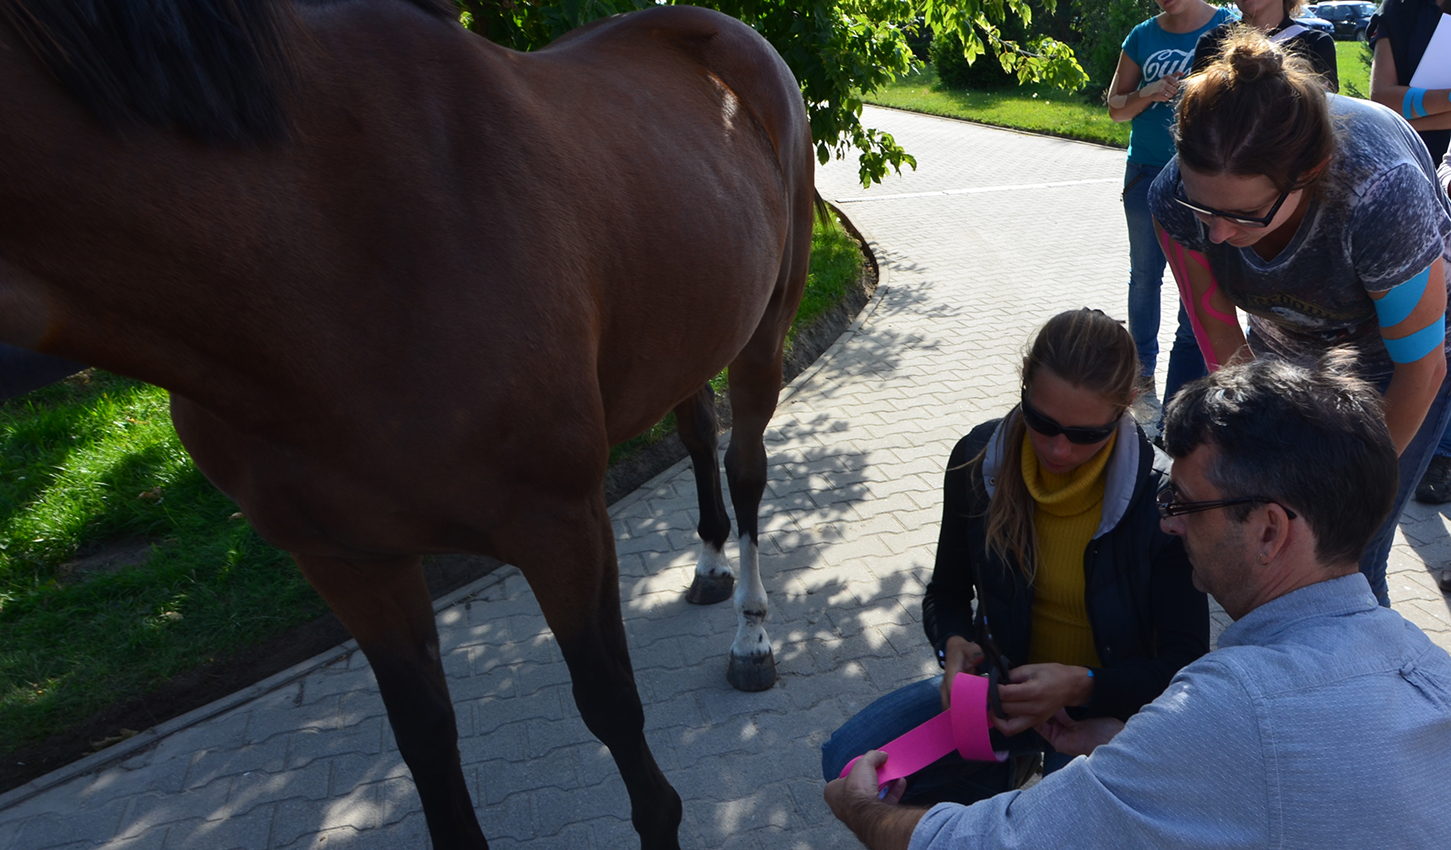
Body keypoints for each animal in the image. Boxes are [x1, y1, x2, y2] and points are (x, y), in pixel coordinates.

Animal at [0, 3, 818, 841]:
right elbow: (423, 736)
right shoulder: (348, 559)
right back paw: (710, 565)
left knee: (744, 469)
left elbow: (611, 706)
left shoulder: (560, 525)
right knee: (696, 430)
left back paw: (752, 634)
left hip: (763, 330)